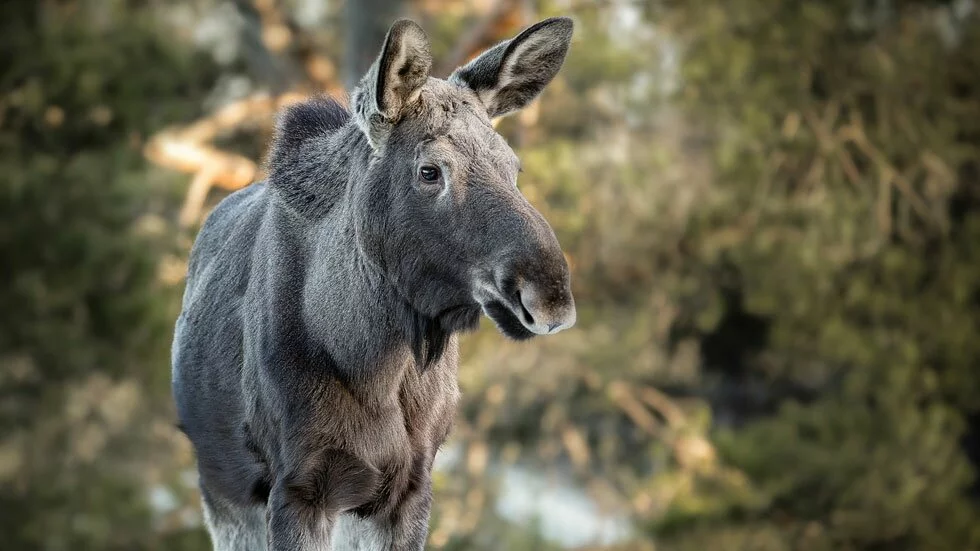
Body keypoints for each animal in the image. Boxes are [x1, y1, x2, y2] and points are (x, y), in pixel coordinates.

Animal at [173, 15, 580, 548]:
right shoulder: (297, 487)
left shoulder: (409, 488)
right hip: (223, 489)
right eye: (430, 171)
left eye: (514, 167)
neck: (374, 364)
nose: (550, 298)